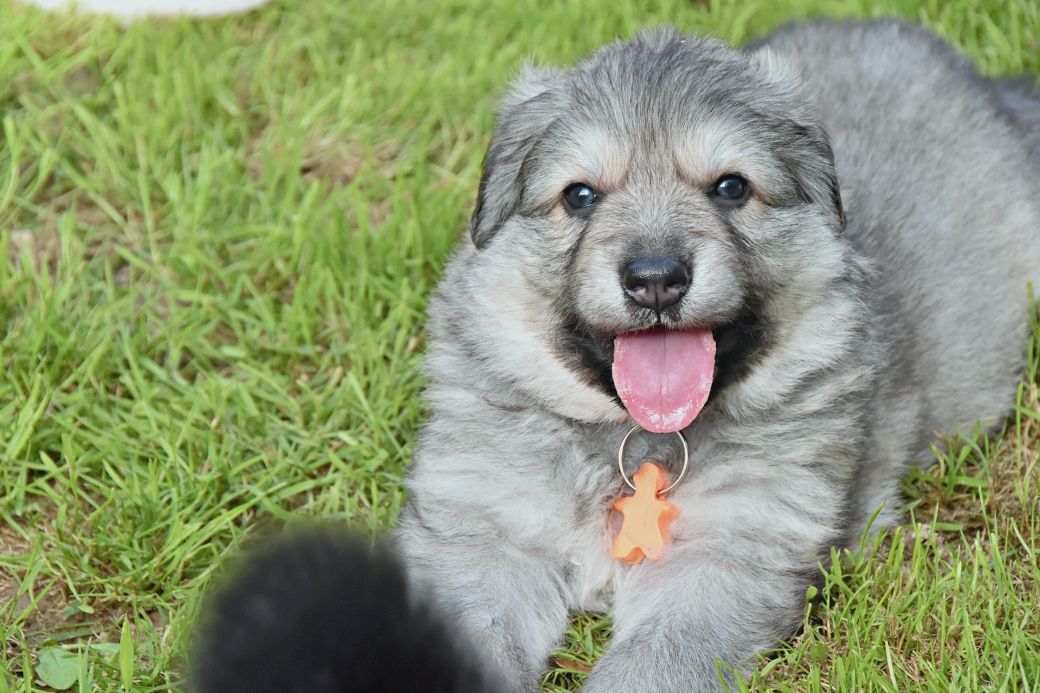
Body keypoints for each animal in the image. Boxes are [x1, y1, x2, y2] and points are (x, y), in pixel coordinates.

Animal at [192, 19, 1040, 693]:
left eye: (731, 187)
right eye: (580, 195)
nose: (657, 278)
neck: (628, 440)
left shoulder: (723, 560)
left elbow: (651, 664)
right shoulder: (482, 539)